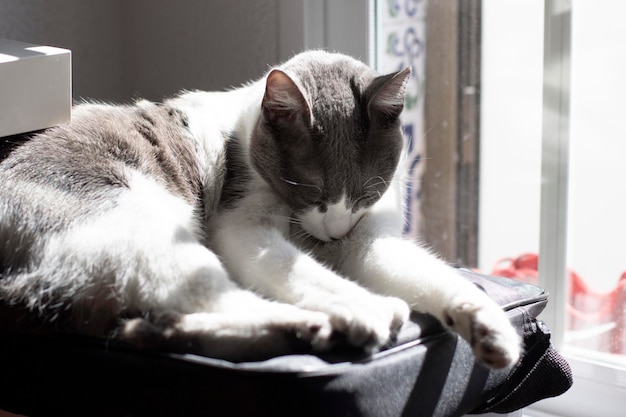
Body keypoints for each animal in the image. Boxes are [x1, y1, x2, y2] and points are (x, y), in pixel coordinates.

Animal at [0, 51, 516, 368]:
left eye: (365, 192)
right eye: (308, 189)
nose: (333, 230)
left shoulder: (367, 238)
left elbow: (425, 272)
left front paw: (491, 329)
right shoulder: (242, 223)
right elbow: (305, 272)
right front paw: (357, 302)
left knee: (167, 323)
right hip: (142, 226)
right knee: (218, 298)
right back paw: (339, 318)